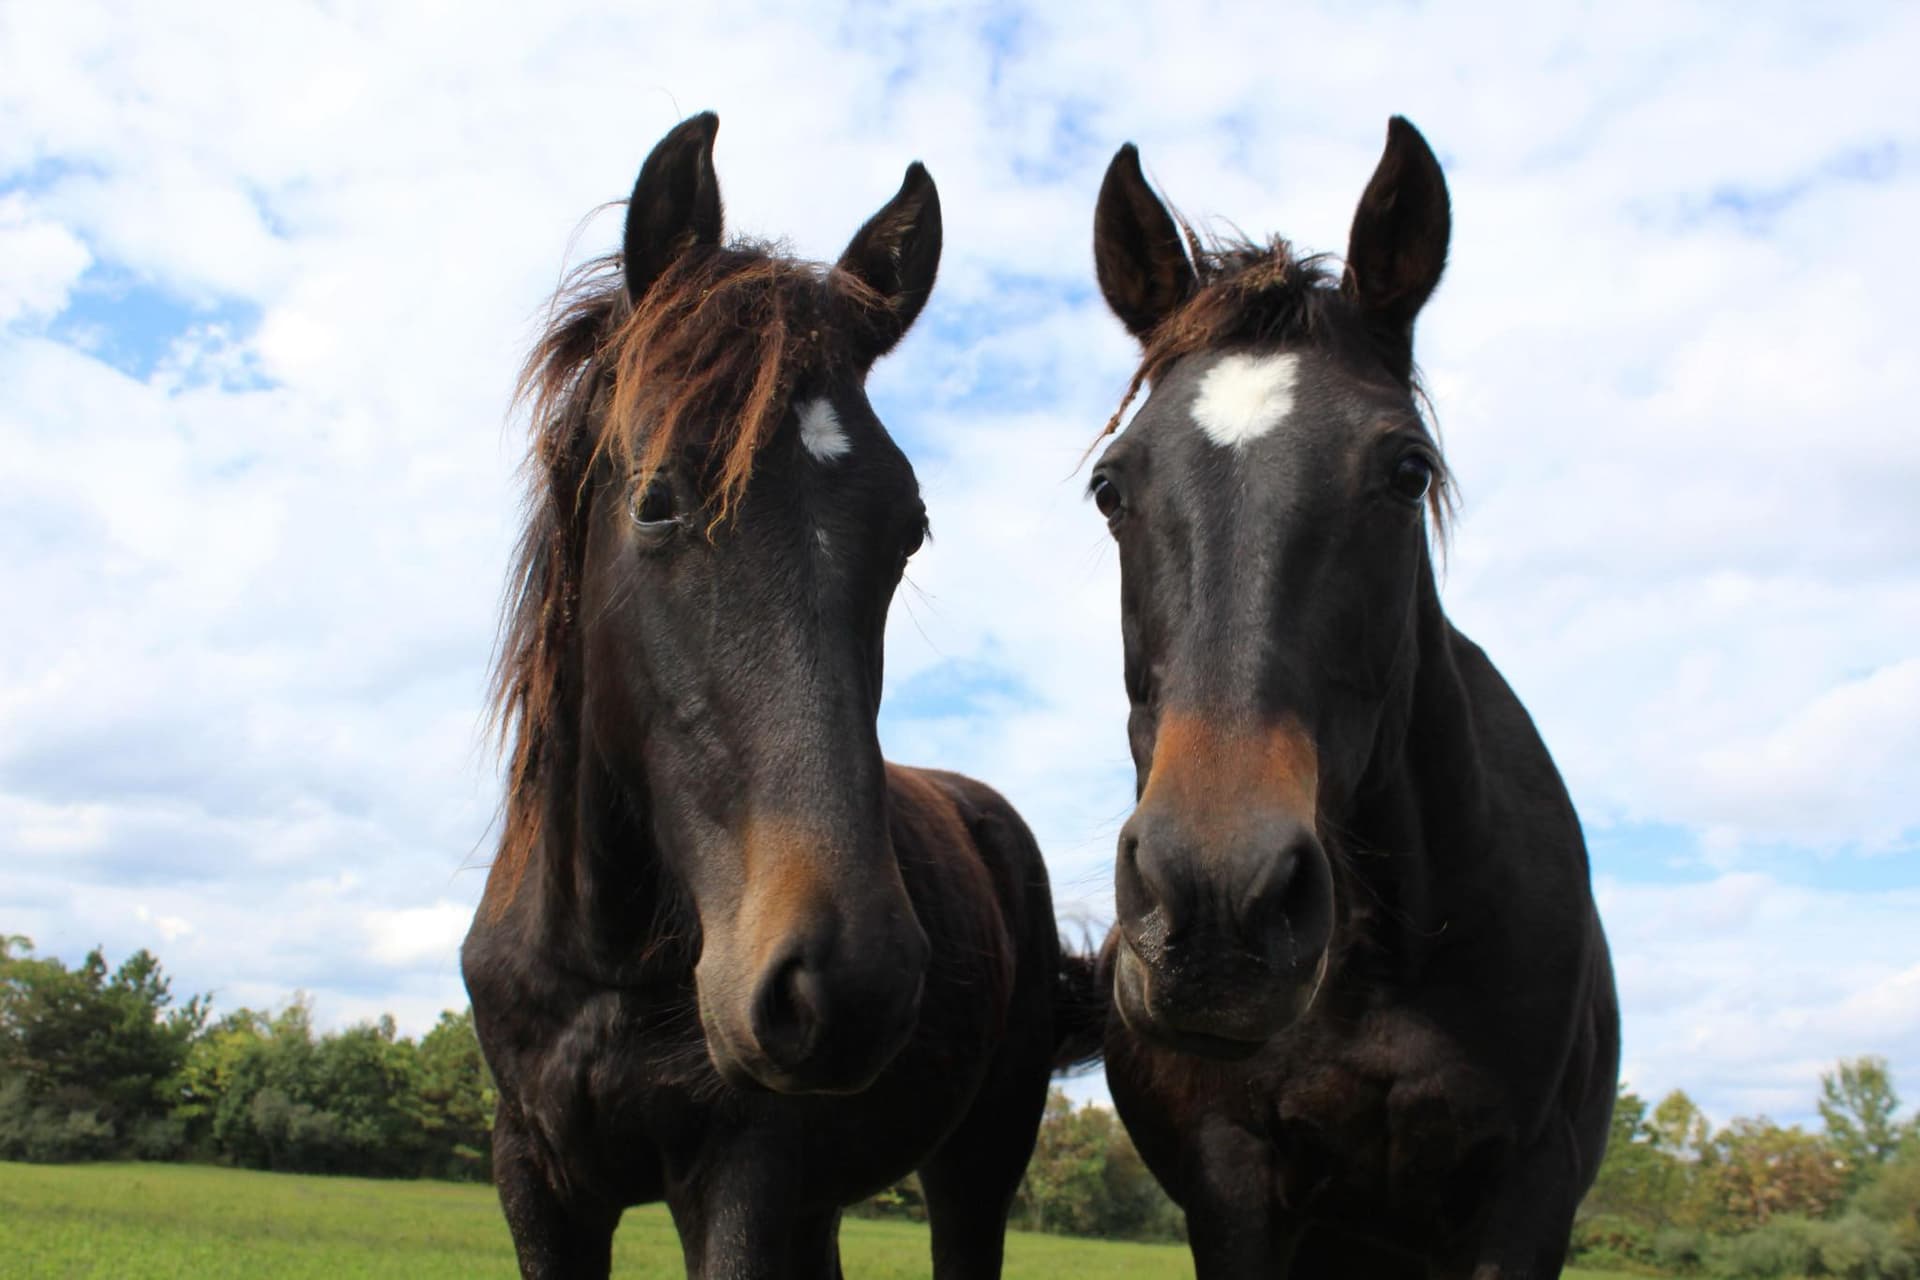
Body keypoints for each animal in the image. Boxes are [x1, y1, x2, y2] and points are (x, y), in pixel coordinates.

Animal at [462, 112, 1101, 1280]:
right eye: (657, 501)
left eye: (909, 529)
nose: (846, 980)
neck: (603, 958)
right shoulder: (535, 1178)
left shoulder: (744, 1176)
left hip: (978, 1166)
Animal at [1083, 117, 1620, 1276]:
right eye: (1111, 487)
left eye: (1408, 470)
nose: (1217, 896)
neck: (1387, 960)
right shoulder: (1232, 1179)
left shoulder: (1531, 1188)